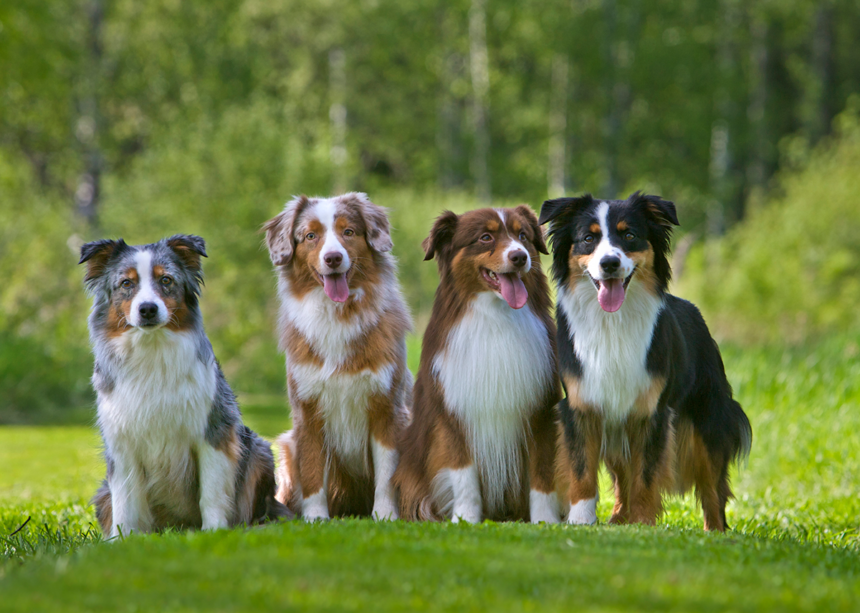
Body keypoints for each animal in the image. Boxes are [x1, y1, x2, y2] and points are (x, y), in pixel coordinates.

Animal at [78, 234, 286, 536]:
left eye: (166, 280)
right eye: (126, 283)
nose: (148, 309)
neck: (152, 350)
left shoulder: (213, 432)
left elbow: (211, 493)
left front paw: (214, 532)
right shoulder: (121, 443)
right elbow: (125, 502)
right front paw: (122, 540)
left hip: (258, 451)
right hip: (102, 491)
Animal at [264, 194, 412, 520]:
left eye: (349, 232)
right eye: (310, 236)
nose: (333, 258)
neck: (337, 313)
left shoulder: (387, 407)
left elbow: (387, 473)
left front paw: (385, 515)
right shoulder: (308, 410)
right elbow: (312, 470)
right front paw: (316, 518)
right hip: (287, 445)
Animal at [394, 206, 560, 520]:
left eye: (523, 235)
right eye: (485, 237)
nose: (520, 256)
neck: (495, 316)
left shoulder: (540, 410)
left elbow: (543, 473)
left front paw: (546, 520)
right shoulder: (453, 413)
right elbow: (464, 476)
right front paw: (466, 520)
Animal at [540, 192, 748, 532]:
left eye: (629, 236)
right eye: (588, 239)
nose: (609, 263)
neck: (612, 321)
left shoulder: (651, 410)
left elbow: (646, 474)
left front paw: (642, 523)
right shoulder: (583, 405)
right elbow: (582, 469)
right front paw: (582, 519)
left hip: (708, 417)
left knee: (712, 485)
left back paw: (714, 530)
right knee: (621, 476)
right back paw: (617, 518)